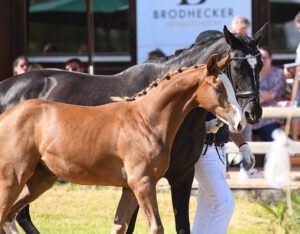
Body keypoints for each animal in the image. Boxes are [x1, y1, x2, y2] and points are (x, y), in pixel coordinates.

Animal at [1, 24, 264, 234]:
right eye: (237, 67)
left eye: (260, 65)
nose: (250, 115)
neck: (147, 116)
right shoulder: (142, 182)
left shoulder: (178, 176)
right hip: (16, 175)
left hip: (41, 176)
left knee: (14, 215)